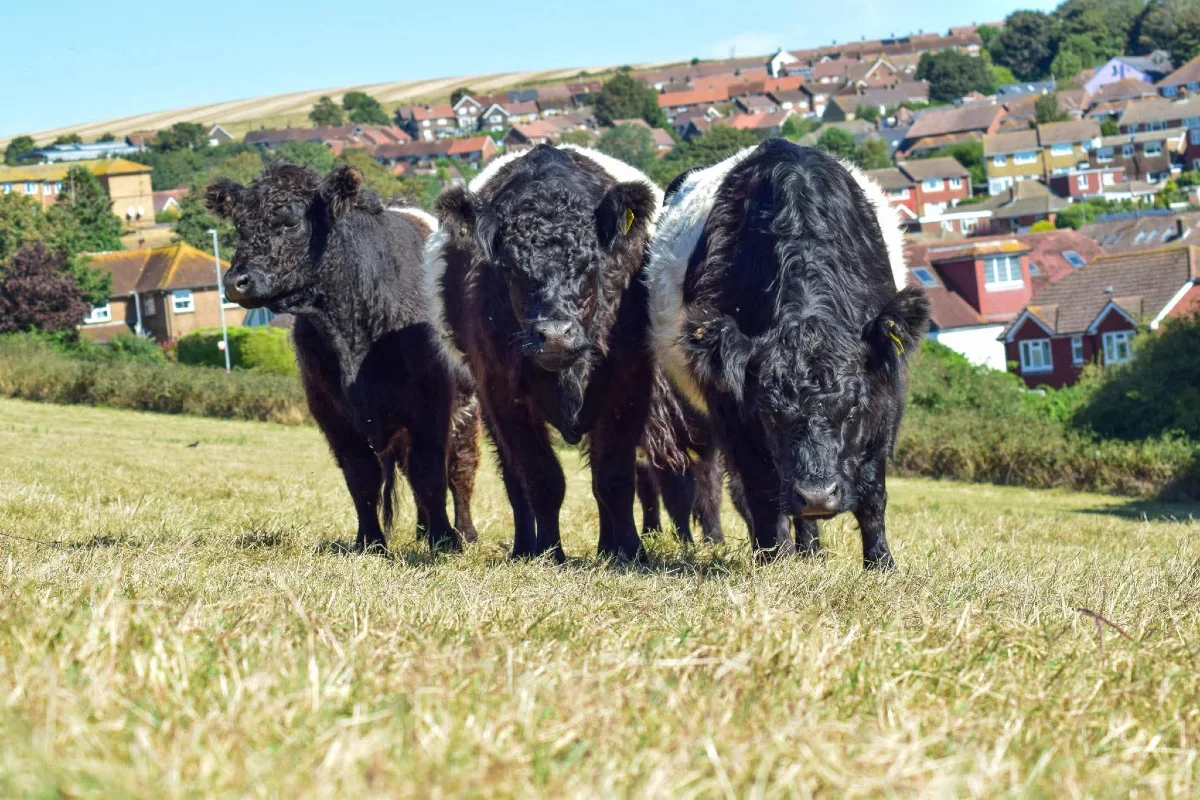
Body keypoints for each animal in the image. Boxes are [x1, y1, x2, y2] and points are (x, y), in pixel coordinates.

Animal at [208, 163, 480, 556]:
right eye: (240, 225)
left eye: (290, 222)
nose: (234, 282)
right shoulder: (329, 409)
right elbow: (360, 474)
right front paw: (370, 542)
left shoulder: (430, 402)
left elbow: (429, 471)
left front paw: (444, 541)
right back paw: (422, 528)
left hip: (467, 408)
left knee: (460, 467)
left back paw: (464, 532)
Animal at [424, 143, 672, 561]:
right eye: (509, 268)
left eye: (590, 263)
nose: (554, 335)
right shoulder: (502, 395)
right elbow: (541, 478)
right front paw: (549, 552)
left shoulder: (629, 386)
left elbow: (614, 478)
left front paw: (630, 552)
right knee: (514, 480)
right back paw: (525, 547)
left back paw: (607, 547)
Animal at [643, 142, 931, 568]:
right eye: (769, 413)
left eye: (851, 410)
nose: (817, 495)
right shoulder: (733, 410)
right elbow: (760, 491)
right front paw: (773, 561)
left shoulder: (884, 398)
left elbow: (872, 491)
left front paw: (881, 563)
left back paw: (811, 549)